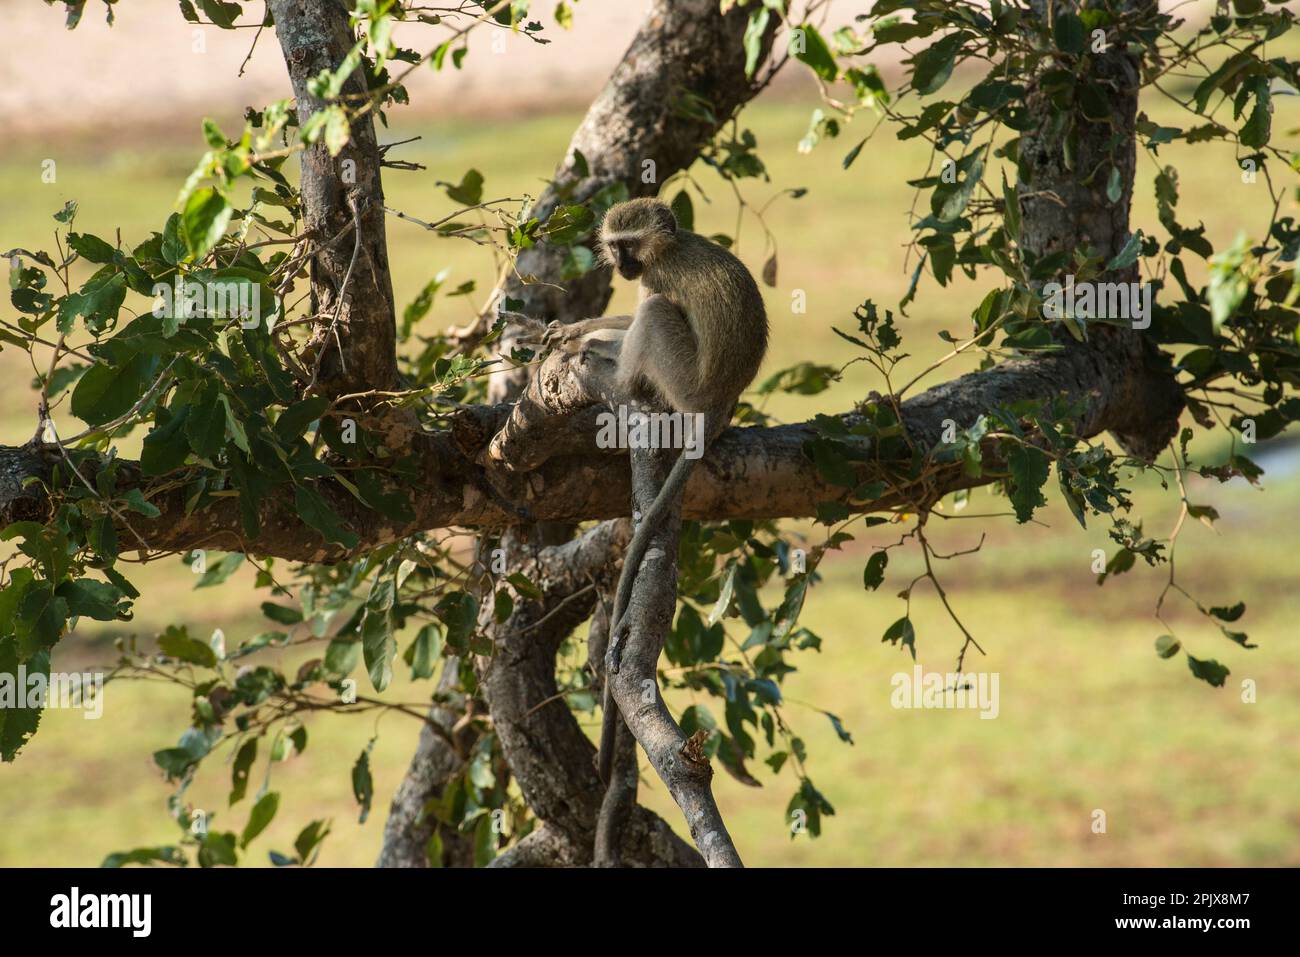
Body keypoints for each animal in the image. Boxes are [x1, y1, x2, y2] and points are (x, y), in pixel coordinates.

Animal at [541, 197, 768, 786]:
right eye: (614, 246)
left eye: (629, 246)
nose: (621, 266)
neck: (672, 246)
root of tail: (716, 407)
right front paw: (573, 329)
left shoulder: (657, 276)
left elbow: (649, 305)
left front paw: (583, 339)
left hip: (683, 380)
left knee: (656, 315)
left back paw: (614, 373)